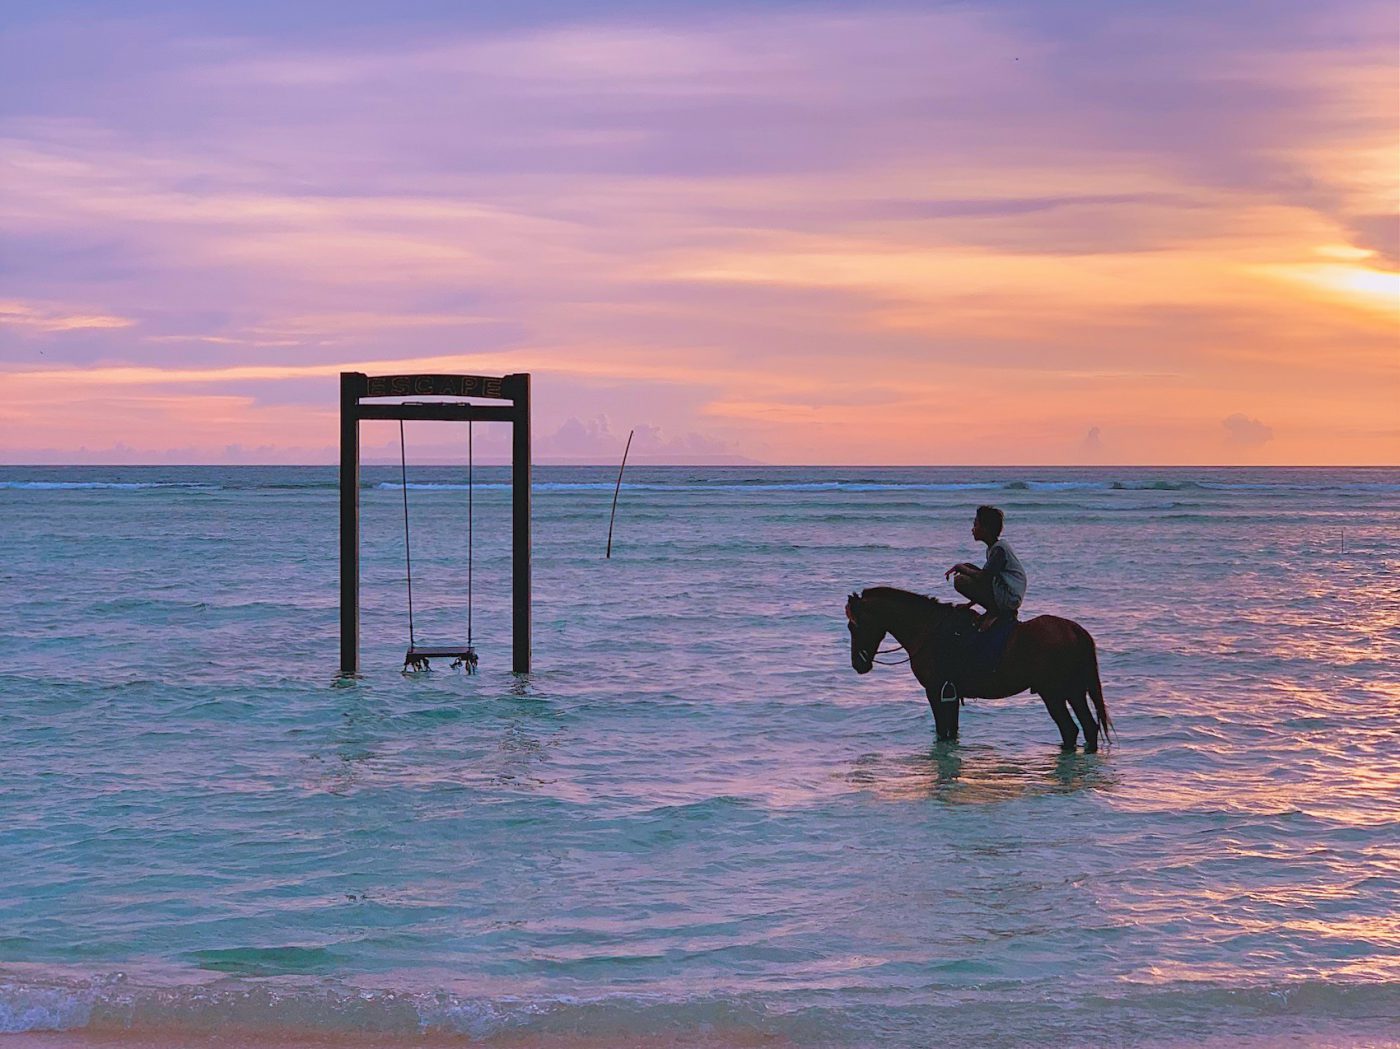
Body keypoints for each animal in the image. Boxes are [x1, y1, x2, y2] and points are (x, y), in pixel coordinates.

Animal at [845, 585, 1108, 750]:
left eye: (853, 626)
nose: (858, 664)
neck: (927, 630)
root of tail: (1073, 630)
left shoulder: (936, 692)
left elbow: (943, 731)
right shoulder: (950, 695)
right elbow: (950, 732)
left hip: (1053, 693)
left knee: (1070, 729)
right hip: (1073, 691)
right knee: (1088, 727)